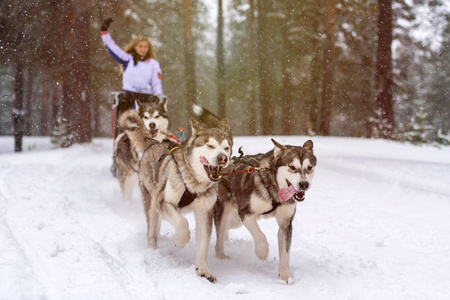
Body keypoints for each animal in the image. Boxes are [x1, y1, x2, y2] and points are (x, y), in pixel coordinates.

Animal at [118, 109, 234, 282]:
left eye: (226, 148)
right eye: (210, 145)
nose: (223, 158)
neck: (194, 184)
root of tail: (154, 143)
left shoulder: (204, 212)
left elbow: (203, 244)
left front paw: (203, 270)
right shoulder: (163, 202)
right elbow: (182, 223)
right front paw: (180, 241)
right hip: (151, 204)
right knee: (151, 231)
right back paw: (153, 250)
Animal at [214, 139, 316, 284]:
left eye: (309, 167)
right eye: (292, 167)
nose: (304, 184)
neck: (274, 190)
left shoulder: (285, 224)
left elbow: (285, 253)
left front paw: (285, 276)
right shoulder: (245, 213)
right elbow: (259, 235)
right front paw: (262, 252)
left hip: (235, 221)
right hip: (225, 213)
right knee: (219, 239)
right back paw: (222, 257)